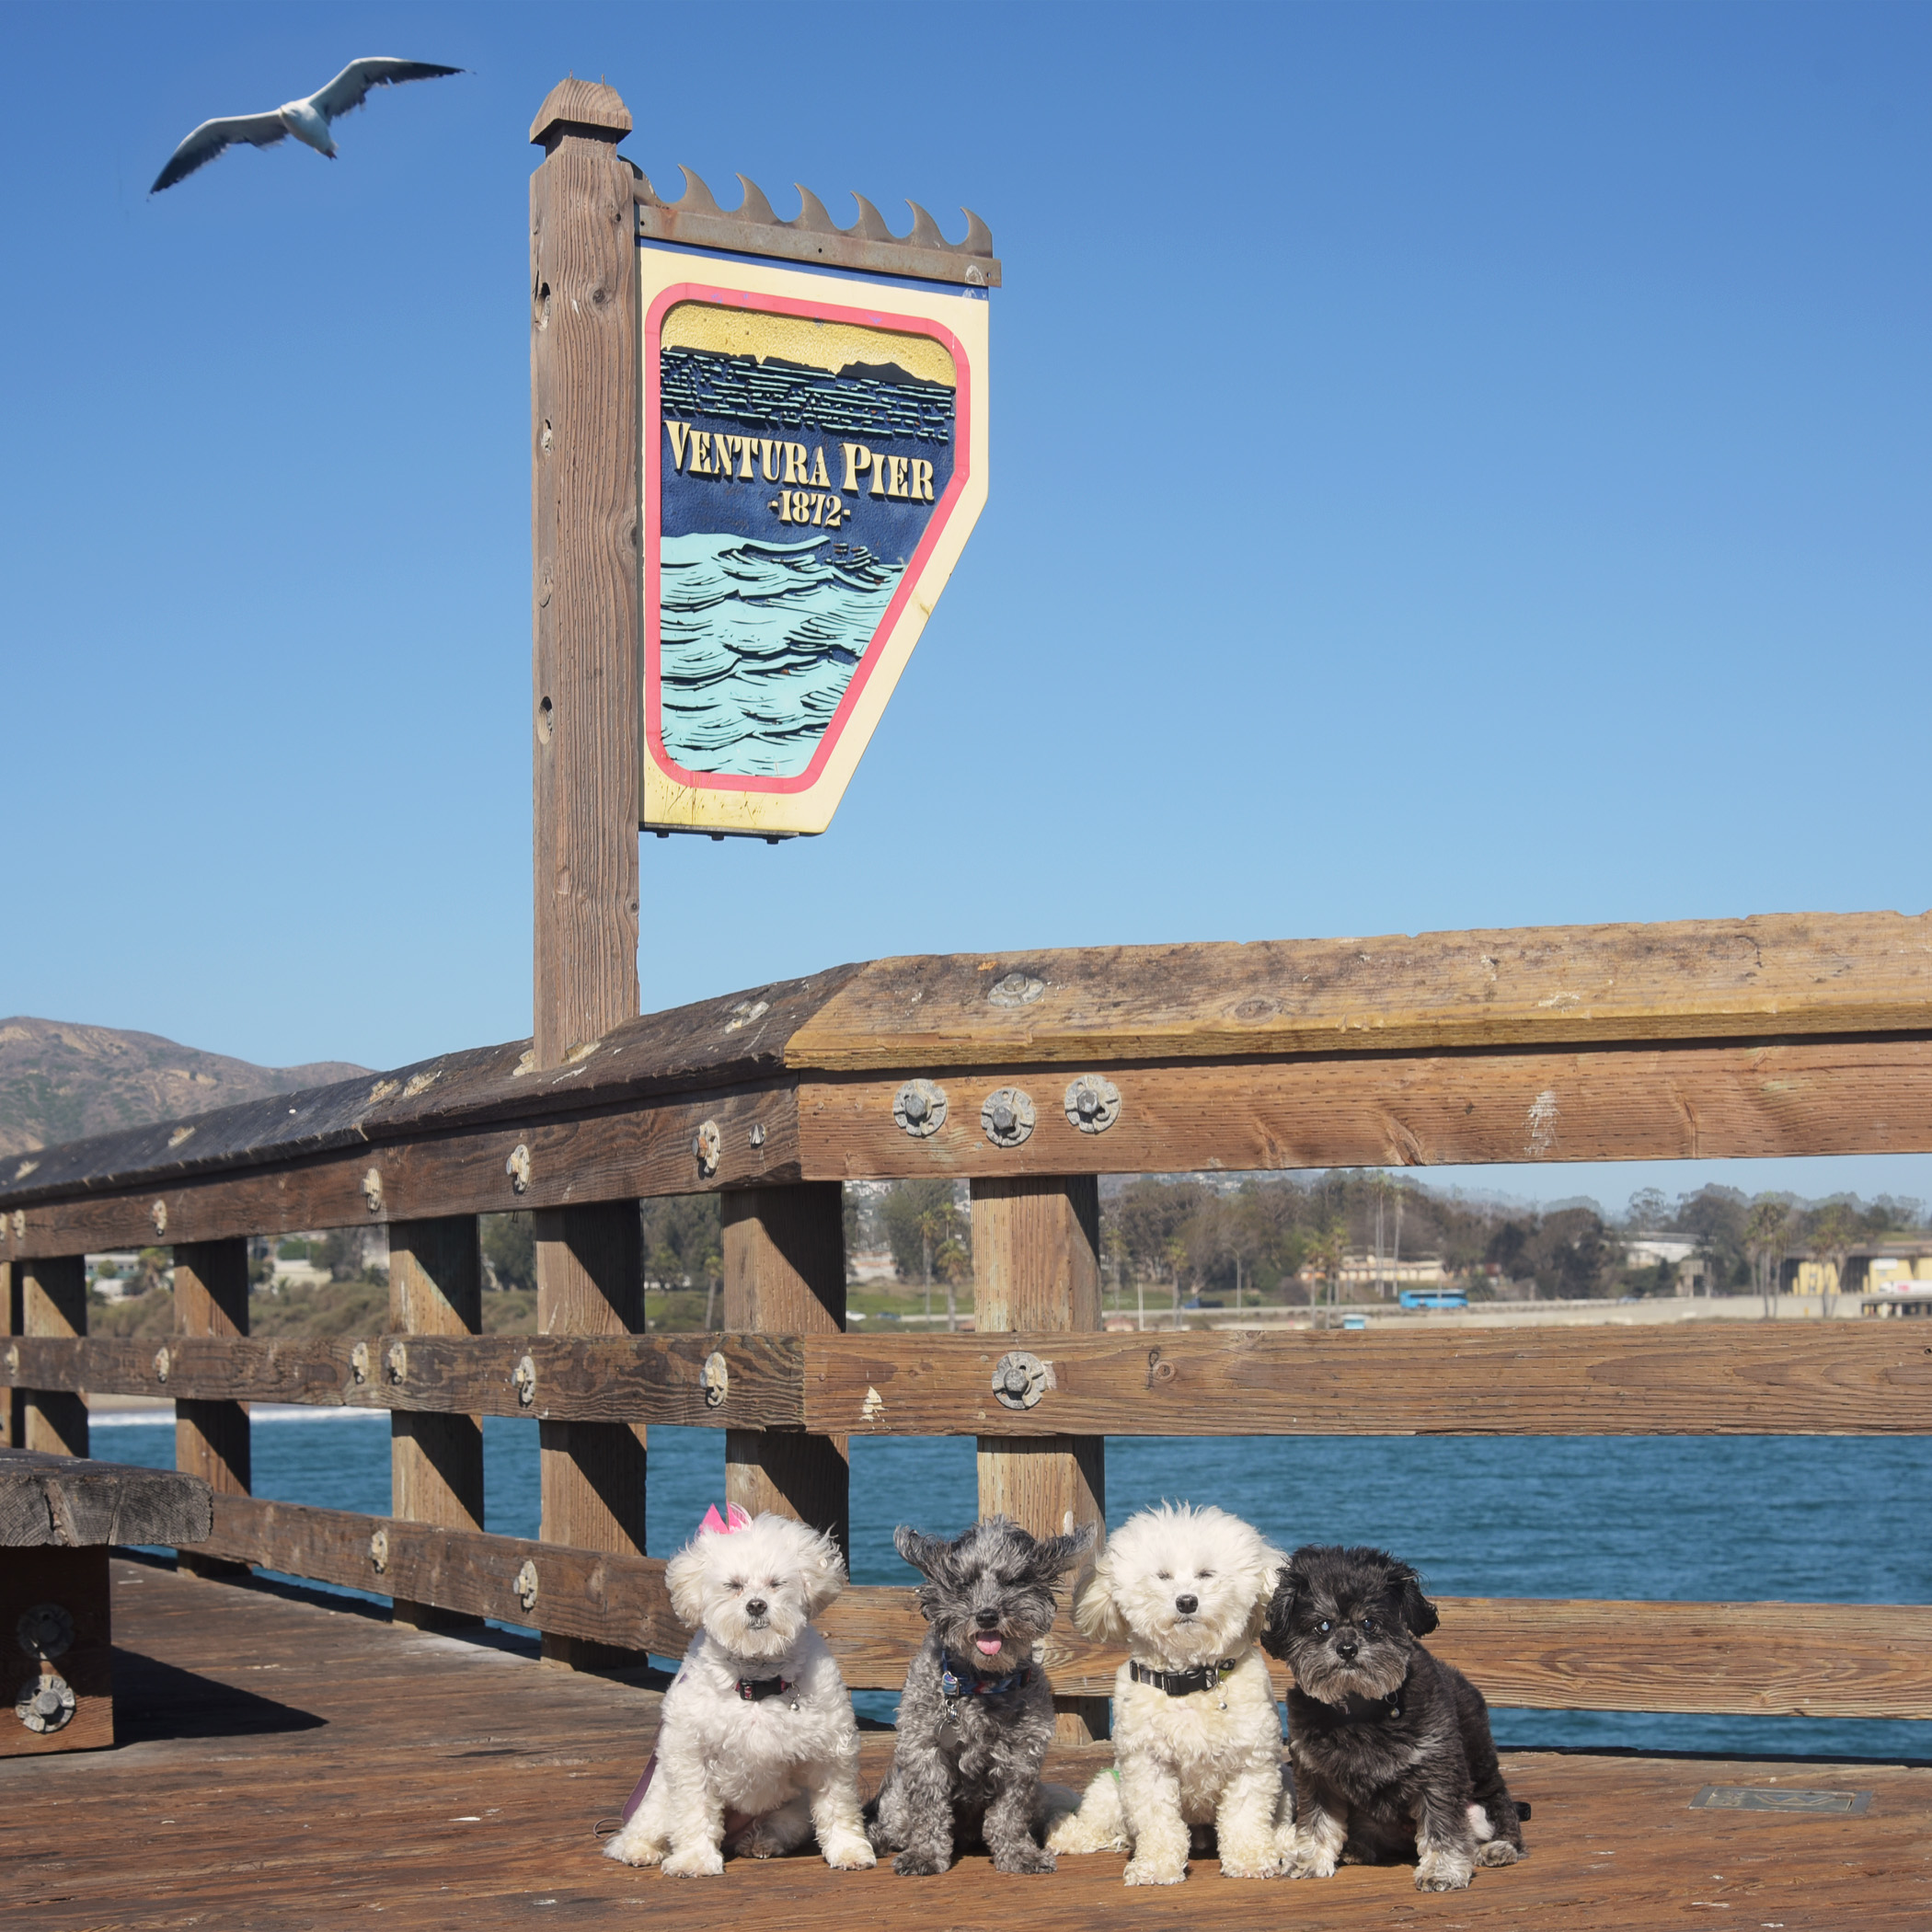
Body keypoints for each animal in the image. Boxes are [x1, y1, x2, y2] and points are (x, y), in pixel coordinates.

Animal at [603, 1506, 877, 1869]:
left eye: (776, 1583)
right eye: (734, 1585)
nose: (756, 1605)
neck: (756, 1683)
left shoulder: (830, 1751)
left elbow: (838, 1807)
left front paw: (849, 1850)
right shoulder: (691, 1753)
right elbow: (694, 1812)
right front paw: (694, 1860)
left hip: (793, 1810)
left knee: (781, 1826)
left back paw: (761, 1841)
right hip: (659, 1798)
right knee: (639, 1830)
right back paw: (639, 1849)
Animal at [868, 1514, 1097, 1878]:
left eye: (1013, 1581)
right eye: (963, 1583)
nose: (987, 1615)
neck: (981, 1683)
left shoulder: (1021, 1756)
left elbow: (1009, 1813)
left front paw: (1019, 1854)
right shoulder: (924, 1749)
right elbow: (929, 1810)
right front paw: (925, 1855)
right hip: (897, 1803)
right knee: (893, 1825)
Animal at [1051, 1491, 1290, 1885]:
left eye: (1207, 1574)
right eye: (1162, 1576)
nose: (1187, 1601)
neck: (1189, 1679)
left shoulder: (1252, 1764)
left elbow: (1244, 1817)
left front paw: (1251, 1860)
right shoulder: (1147, 1766)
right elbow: (1159, 1823)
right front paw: (1157, 1866)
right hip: (1110, 1786)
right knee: (1099, 1821)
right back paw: (1068, 1835)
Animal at [1267, 1545, 1522, 1893]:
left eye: (1370, 1622)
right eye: (1323, 1625)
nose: (1347, 1648)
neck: (1359, 1708)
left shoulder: (1437, 1769)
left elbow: (1442, 1826)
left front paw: (1442, 1870)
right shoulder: (1316, 1773)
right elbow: (1317, 1822)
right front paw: (1310, 1859)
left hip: (1483, 1789)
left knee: (1499, 1813)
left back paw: (1499, 1847)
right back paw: (1358, 1847)